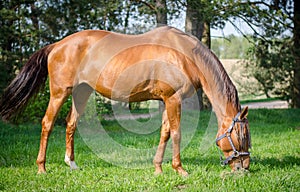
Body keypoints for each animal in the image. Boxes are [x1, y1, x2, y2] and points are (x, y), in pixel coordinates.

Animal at [0, 25, 251, 176]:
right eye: (241, 136)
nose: (245, 167)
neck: (183, 54)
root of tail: (56, 45)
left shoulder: (166, 100)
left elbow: (164, 133)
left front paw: (158, 168)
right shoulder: (173, 99)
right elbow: (177, 133)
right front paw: (180, 170)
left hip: (81, 93)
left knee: (71, 124)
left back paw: (72, 164)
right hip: (60, 93)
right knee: (47, 124)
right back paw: (41, 167)